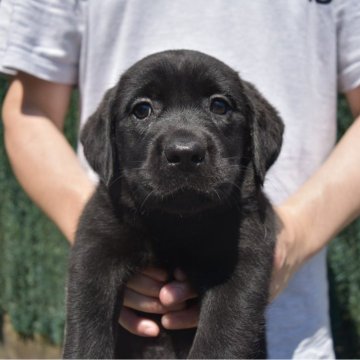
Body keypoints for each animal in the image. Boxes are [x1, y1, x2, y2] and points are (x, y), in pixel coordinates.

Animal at [62, 49, 284, 358]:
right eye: (142, 110)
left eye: (219, 105)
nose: (185, 153)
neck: (175, 225)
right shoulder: (95, 249)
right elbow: (87, 328)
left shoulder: (243, 261)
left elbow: (222, 338)